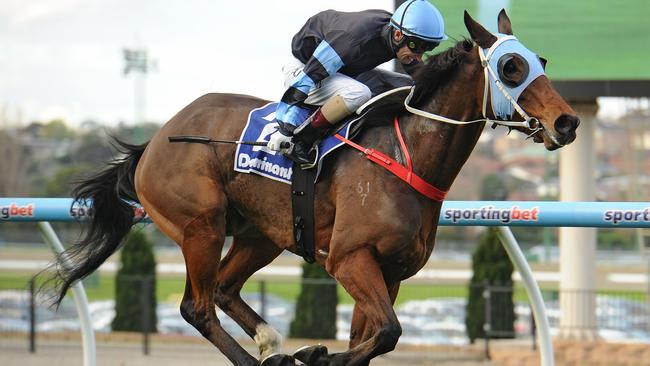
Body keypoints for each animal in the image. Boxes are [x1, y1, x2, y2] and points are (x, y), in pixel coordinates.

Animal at [49, 10, 576, 364]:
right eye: (510, 67)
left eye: (541, 59)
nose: (566, 122)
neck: (407, 156)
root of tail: (156, 139)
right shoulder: (350, 258)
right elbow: (387, 332)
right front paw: (317, 356)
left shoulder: (390, 273)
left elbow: (373, 339)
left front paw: (317, 353)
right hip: (200, 226)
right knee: (196, 306)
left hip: (261, 234)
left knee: (222, 289)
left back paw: (272, 344)